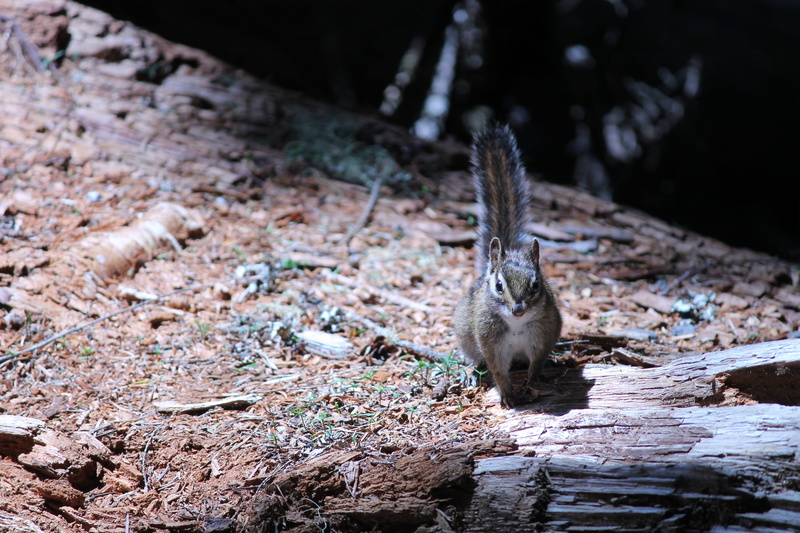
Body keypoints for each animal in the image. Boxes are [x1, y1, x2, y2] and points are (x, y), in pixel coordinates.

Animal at [454, 125, 562, 408]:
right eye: (499, 285)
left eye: (536, 285)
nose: (518, 309)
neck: (515, 325)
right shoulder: (490, 341)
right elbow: (497, 368)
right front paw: (506, 393)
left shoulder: (544, 334)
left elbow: (537, 361)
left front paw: (533, 379)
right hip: (466, 336)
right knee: (476, 359)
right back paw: (471, 371)